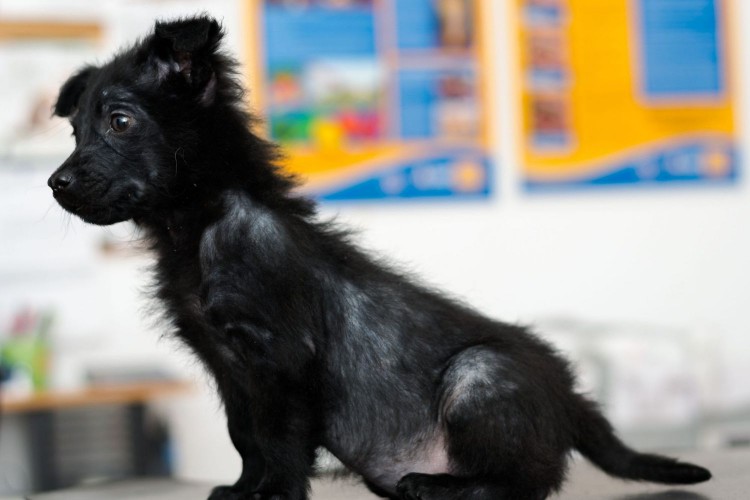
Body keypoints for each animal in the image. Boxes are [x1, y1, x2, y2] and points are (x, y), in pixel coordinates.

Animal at [50, 16, 712, 500]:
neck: (201, 228)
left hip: (480, 375)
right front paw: (243, 491)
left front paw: (276, 494)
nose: (56, 183)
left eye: (119, 121)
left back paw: (441, 486)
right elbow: (247, 436)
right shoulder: (225, 364)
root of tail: (570, 396)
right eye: (76, 131)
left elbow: (280, 438)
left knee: (523, 482)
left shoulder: (279, 357)